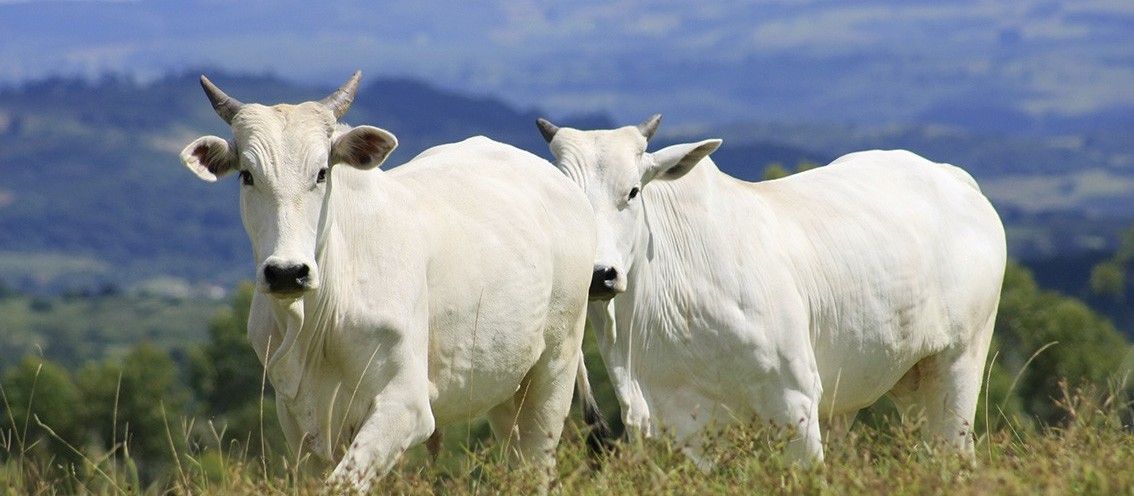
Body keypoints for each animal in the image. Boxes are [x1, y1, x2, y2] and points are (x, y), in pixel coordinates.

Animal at [176, 71, 598, 488]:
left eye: (322, 173)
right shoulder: (298, 422)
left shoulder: (406, 406)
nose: (286, 272)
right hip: (502, 387)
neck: (315, 323)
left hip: (553, 373)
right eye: (247, 175)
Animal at [535, 115, 1006, 463]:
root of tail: (953, 178)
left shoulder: (795, 400)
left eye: (633, 191)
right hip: (899, 382)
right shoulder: (673, 425)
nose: (599, 275)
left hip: (957, 364)